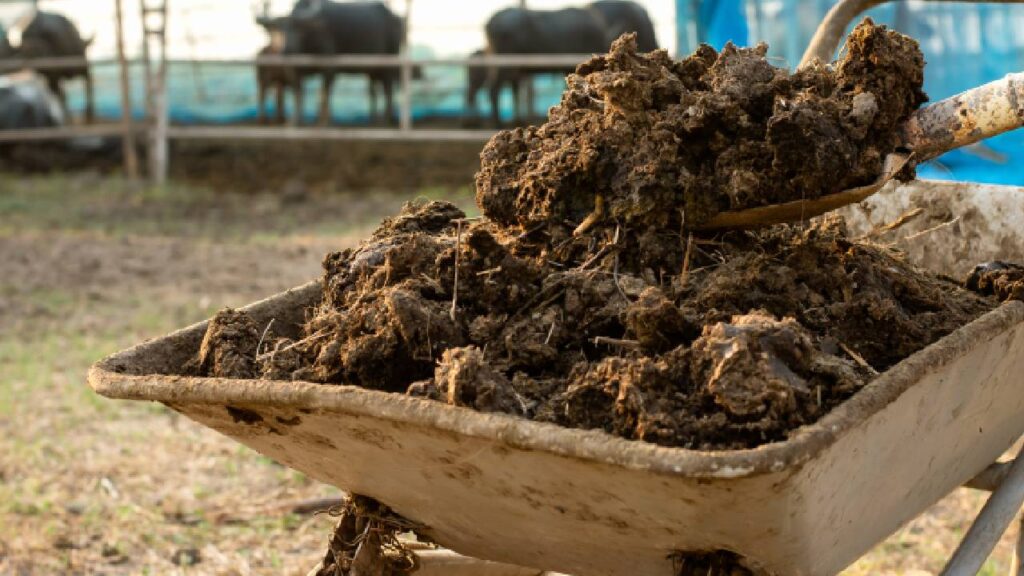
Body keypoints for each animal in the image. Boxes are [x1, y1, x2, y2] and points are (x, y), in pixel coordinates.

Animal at [264, 0, 407, 126]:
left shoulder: (329, 67)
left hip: (389, 62)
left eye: (300, 30)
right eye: (278, 31)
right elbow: (299, 94)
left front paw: (324, 122)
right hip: (373, 70)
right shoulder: (294, 70)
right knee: (373, 91)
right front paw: (295, 121)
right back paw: (373, 120)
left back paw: (386, 120)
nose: (287, 50)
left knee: (388, 89)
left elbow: (323, 93)